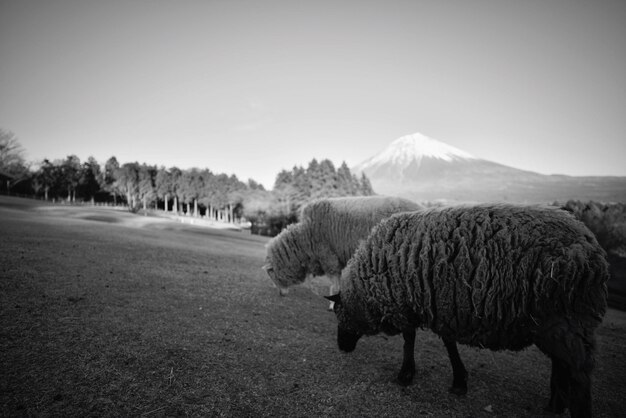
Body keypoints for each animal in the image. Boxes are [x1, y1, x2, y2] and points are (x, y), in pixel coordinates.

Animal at [260, 194, 422, 308]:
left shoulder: (329, 257)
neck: (304, 237)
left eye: (271, 273)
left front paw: (333, 305)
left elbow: (335, 286)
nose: (280, 294)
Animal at [324, 204, 608, 416]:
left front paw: (407, 374)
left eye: (338, 312)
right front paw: (459, 380)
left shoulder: (411, 306)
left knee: (580, 373)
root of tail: (591, 246)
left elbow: (411, 340)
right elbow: (447, 343)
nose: (341, 347)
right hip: (560, 323)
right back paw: (555, 404)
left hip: (565, 320)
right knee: (563, 364)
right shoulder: (442, 306)